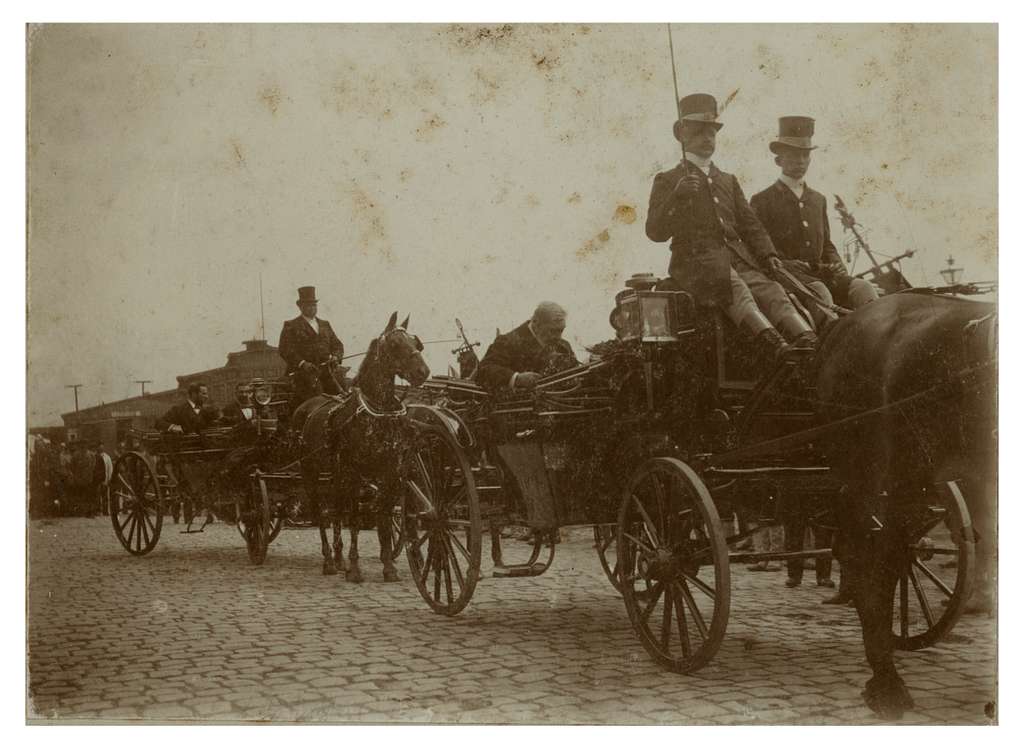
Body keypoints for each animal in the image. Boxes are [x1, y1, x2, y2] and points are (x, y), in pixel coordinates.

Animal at [294, 311, 430, 581]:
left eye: (415, 342)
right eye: (395, 344)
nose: (423, 372)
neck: (377, 412)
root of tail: (308, 406)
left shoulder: (390, 473)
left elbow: (384, 515)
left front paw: (388, 566)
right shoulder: (355, 474)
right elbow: (356, 519)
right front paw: (355, 568)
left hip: (336, 476)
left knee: (336, 511)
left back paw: (338, 559)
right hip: (312, 476)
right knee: (321, 514)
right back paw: (329, 561)